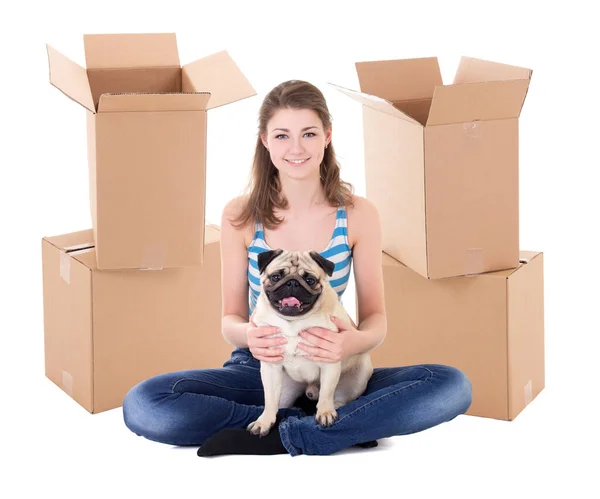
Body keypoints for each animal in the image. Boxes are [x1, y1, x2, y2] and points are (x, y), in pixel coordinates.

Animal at [246, 250, 372, 438]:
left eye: (310, 280)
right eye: (276, 277)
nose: (292, 283)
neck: (292, 322)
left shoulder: (329, 360)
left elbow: (326, 393)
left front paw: (325, 413)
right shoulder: (270, 366)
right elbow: (269, 399)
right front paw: (264, 421)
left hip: (356, 379)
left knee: (337, 398)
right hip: (286, 389)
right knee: (279, 403)